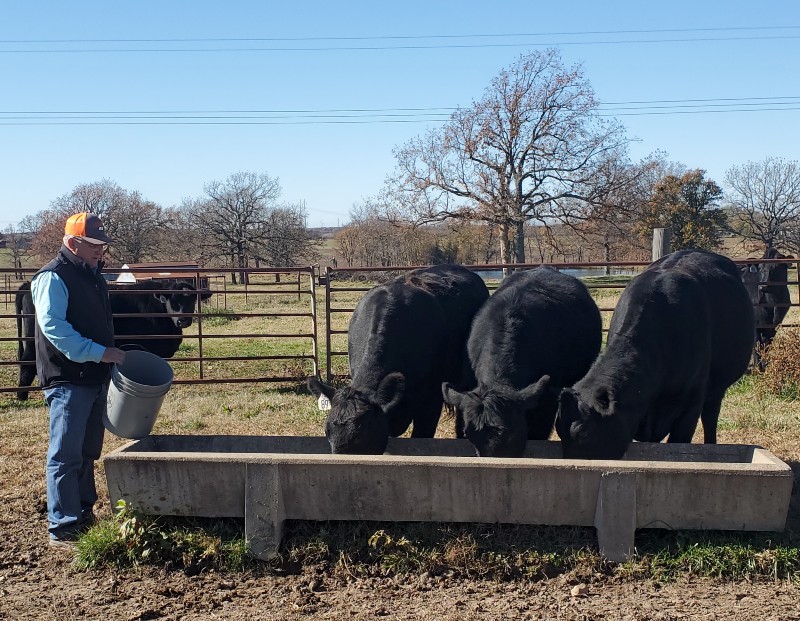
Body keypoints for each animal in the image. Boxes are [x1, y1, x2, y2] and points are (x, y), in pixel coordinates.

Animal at [16, 280, 209, 400]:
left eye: (192, 300)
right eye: (172, 301)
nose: (183, 320)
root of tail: (27, 284)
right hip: (32, 342)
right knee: (27, 362)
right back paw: (21, 395)